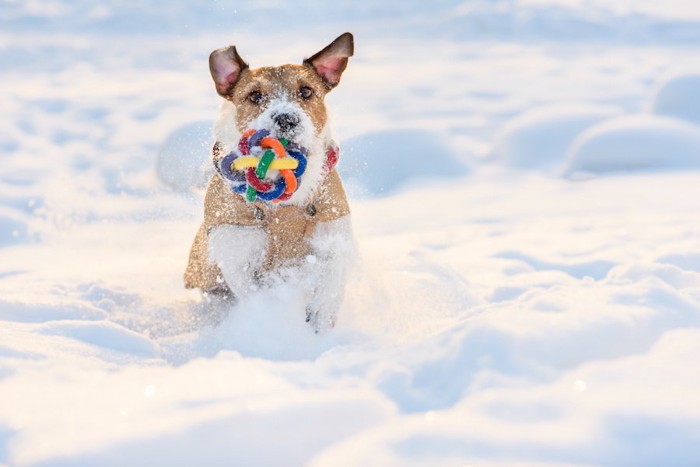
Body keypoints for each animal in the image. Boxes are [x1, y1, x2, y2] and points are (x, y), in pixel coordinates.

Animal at [185, 33, 356, 330]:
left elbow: (333, 274)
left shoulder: (334, 231)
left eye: (306, 91)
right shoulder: (236, 250)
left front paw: (322, 314)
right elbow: (254, 292)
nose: (286, 118)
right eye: (255, 95)